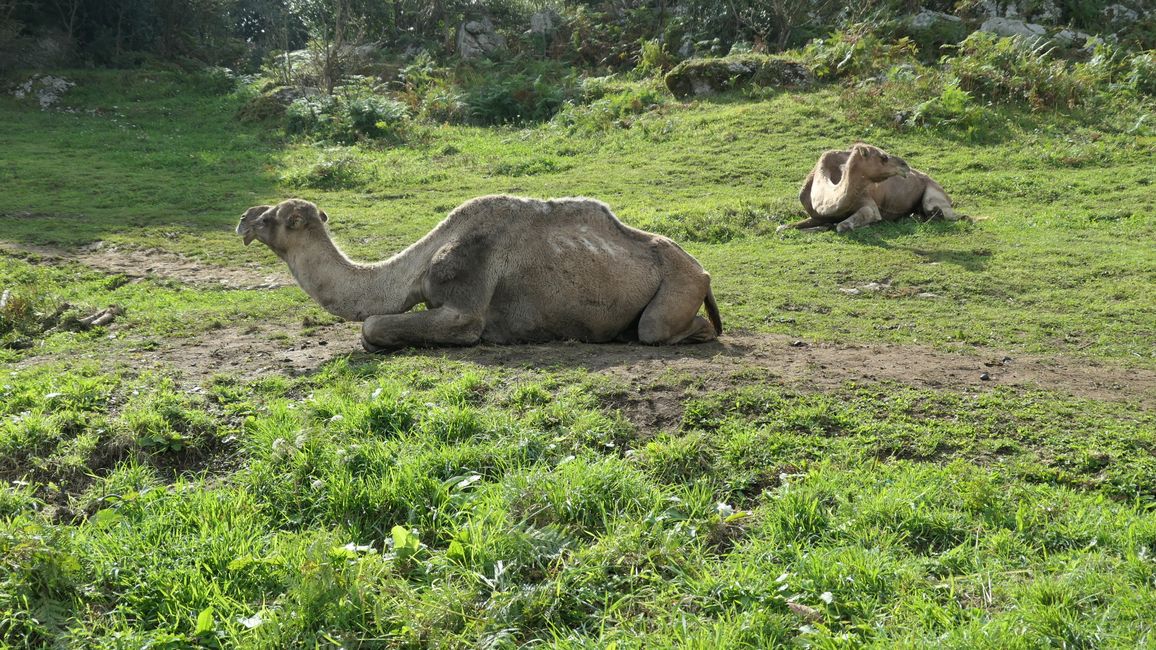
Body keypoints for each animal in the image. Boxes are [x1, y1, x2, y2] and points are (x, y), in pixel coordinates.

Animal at [235, 196, 721, 351]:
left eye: (277, 218)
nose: (243, 219)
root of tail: (702, 269)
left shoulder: (465, 306)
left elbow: (372, 325)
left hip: (678, 286)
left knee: (658, 328)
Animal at [786, 142, 957, 232]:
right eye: (883, 157)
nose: (905, 165)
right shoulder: (816, 215)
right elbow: (784, 226)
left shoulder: (869, 205)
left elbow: (842, 225)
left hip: (933, 196)